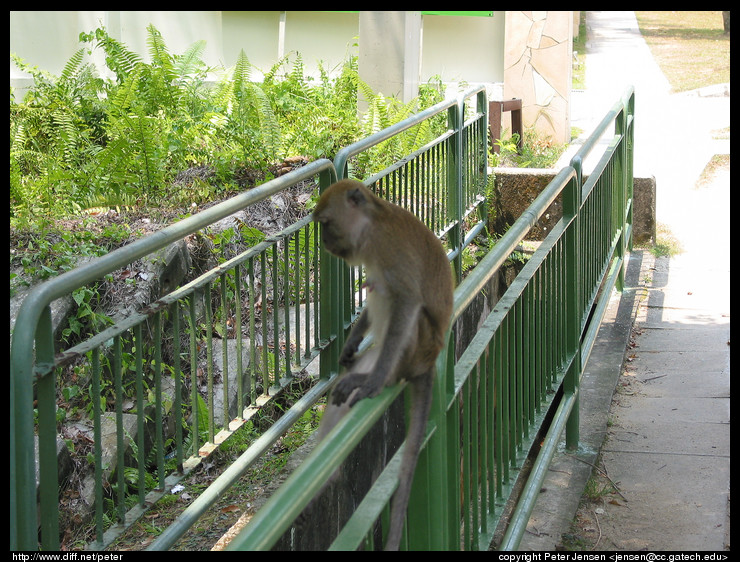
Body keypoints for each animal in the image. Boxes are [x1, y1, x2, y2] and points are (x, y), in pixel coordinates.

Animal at [310, 178, 450, 548]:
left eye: (325, 224)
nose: (323, 242)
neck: (373, 223)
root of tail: (427, 361)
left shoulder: (388, 247)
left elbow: (406, 300)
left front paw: (373, 382)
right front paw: (350, 343)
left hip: (411, 350)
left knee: (403, 307)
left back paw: (375, 379)